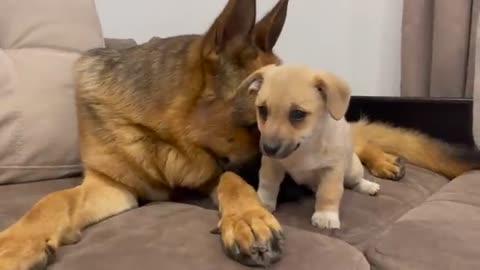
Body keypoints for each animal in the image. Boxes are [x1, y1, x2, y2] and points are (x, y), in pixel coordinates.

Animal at [0, 0, 480, 268]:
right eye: (256, 120)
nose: (295, 187)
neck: (163, 137)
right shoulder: (112, 187)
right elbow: (52, 200)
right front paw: (18, 241)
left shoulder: (217, 171)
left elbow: (232, 179)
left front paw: (248, 218)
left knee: (361, 141)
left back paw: (382, 163)